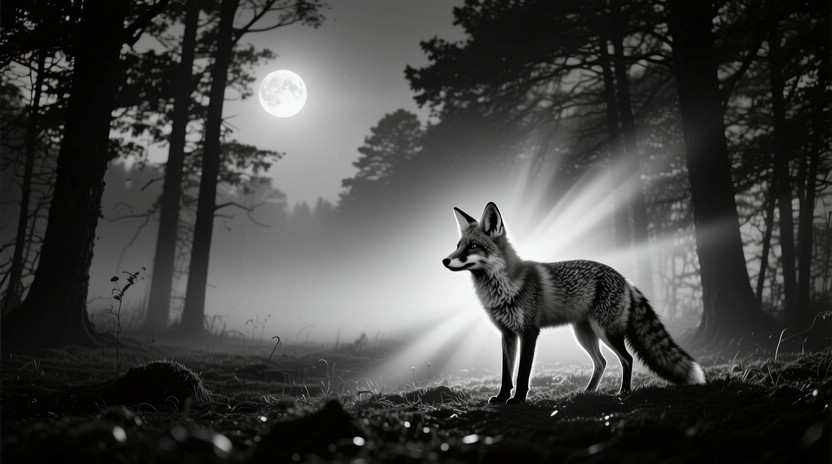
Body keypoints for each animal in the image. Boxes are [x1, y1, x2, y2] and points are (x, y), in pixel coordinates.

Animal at [443, 202, 705, 404]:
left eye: (473, 246)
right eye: (458, 246)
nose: (445, 260)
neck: (503, 288)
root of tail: (624, 278)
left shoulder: (529, 332)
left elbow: (523, 373)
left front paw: (517, 400)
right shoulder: (507, 334)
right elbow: (506, 374)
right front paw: (501, 398)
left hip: (607, 332)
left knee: (627, 359)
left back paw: (623, 392)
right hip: (584, 334)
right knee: (602, 362)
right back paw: (588, 392)